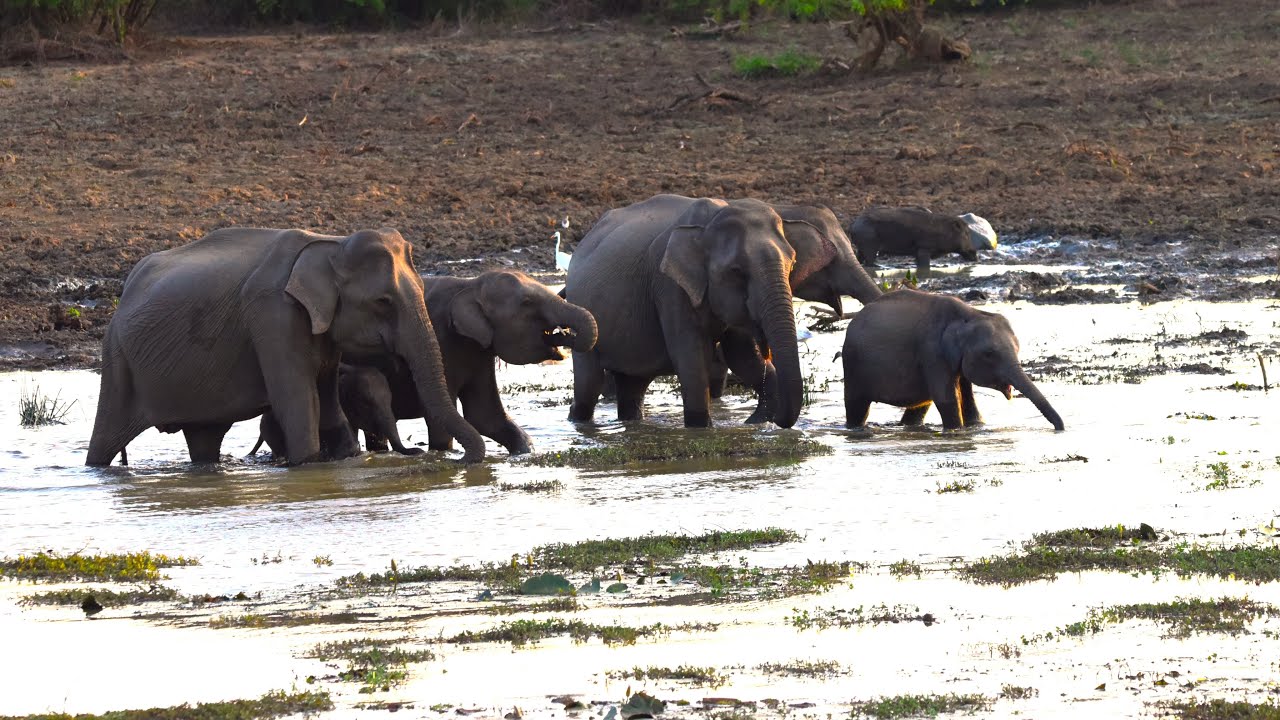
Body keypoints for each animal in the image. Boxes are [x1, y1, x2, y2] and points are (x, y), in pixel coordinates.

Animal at [86, 227, 488, 466]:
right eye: (382, 302)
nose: (453, 460)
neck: (330, 245)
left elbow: (327, 399)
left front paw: (344, 457)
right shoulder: (273, 316)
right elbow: (299, 402)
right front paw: (308, 465)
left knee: (204, 439)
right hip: (117, 358)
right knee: (104, 440)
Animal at [842, 287, 1064, 431]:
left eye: (1018, 349)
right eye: (989, 354)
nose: (1060, 429)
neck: (969, 314)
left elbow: (967, 397)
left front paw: (975, 426)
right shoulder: (932, 353)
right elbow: (947, 398)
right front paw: (956, 431)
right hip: (853, 364)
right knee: (857, 406)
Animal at [847, 206, 977, 279]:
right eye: (966, 233)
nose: (975, 254)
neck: (944, 232)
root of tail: (853, 225)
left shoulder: (917, 252)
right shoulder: (924, 249)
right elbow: (925, 265)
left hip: (861, 248)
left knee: (859, 259)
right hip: (869, 246)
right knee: (869, 262)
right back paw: (880, 267)